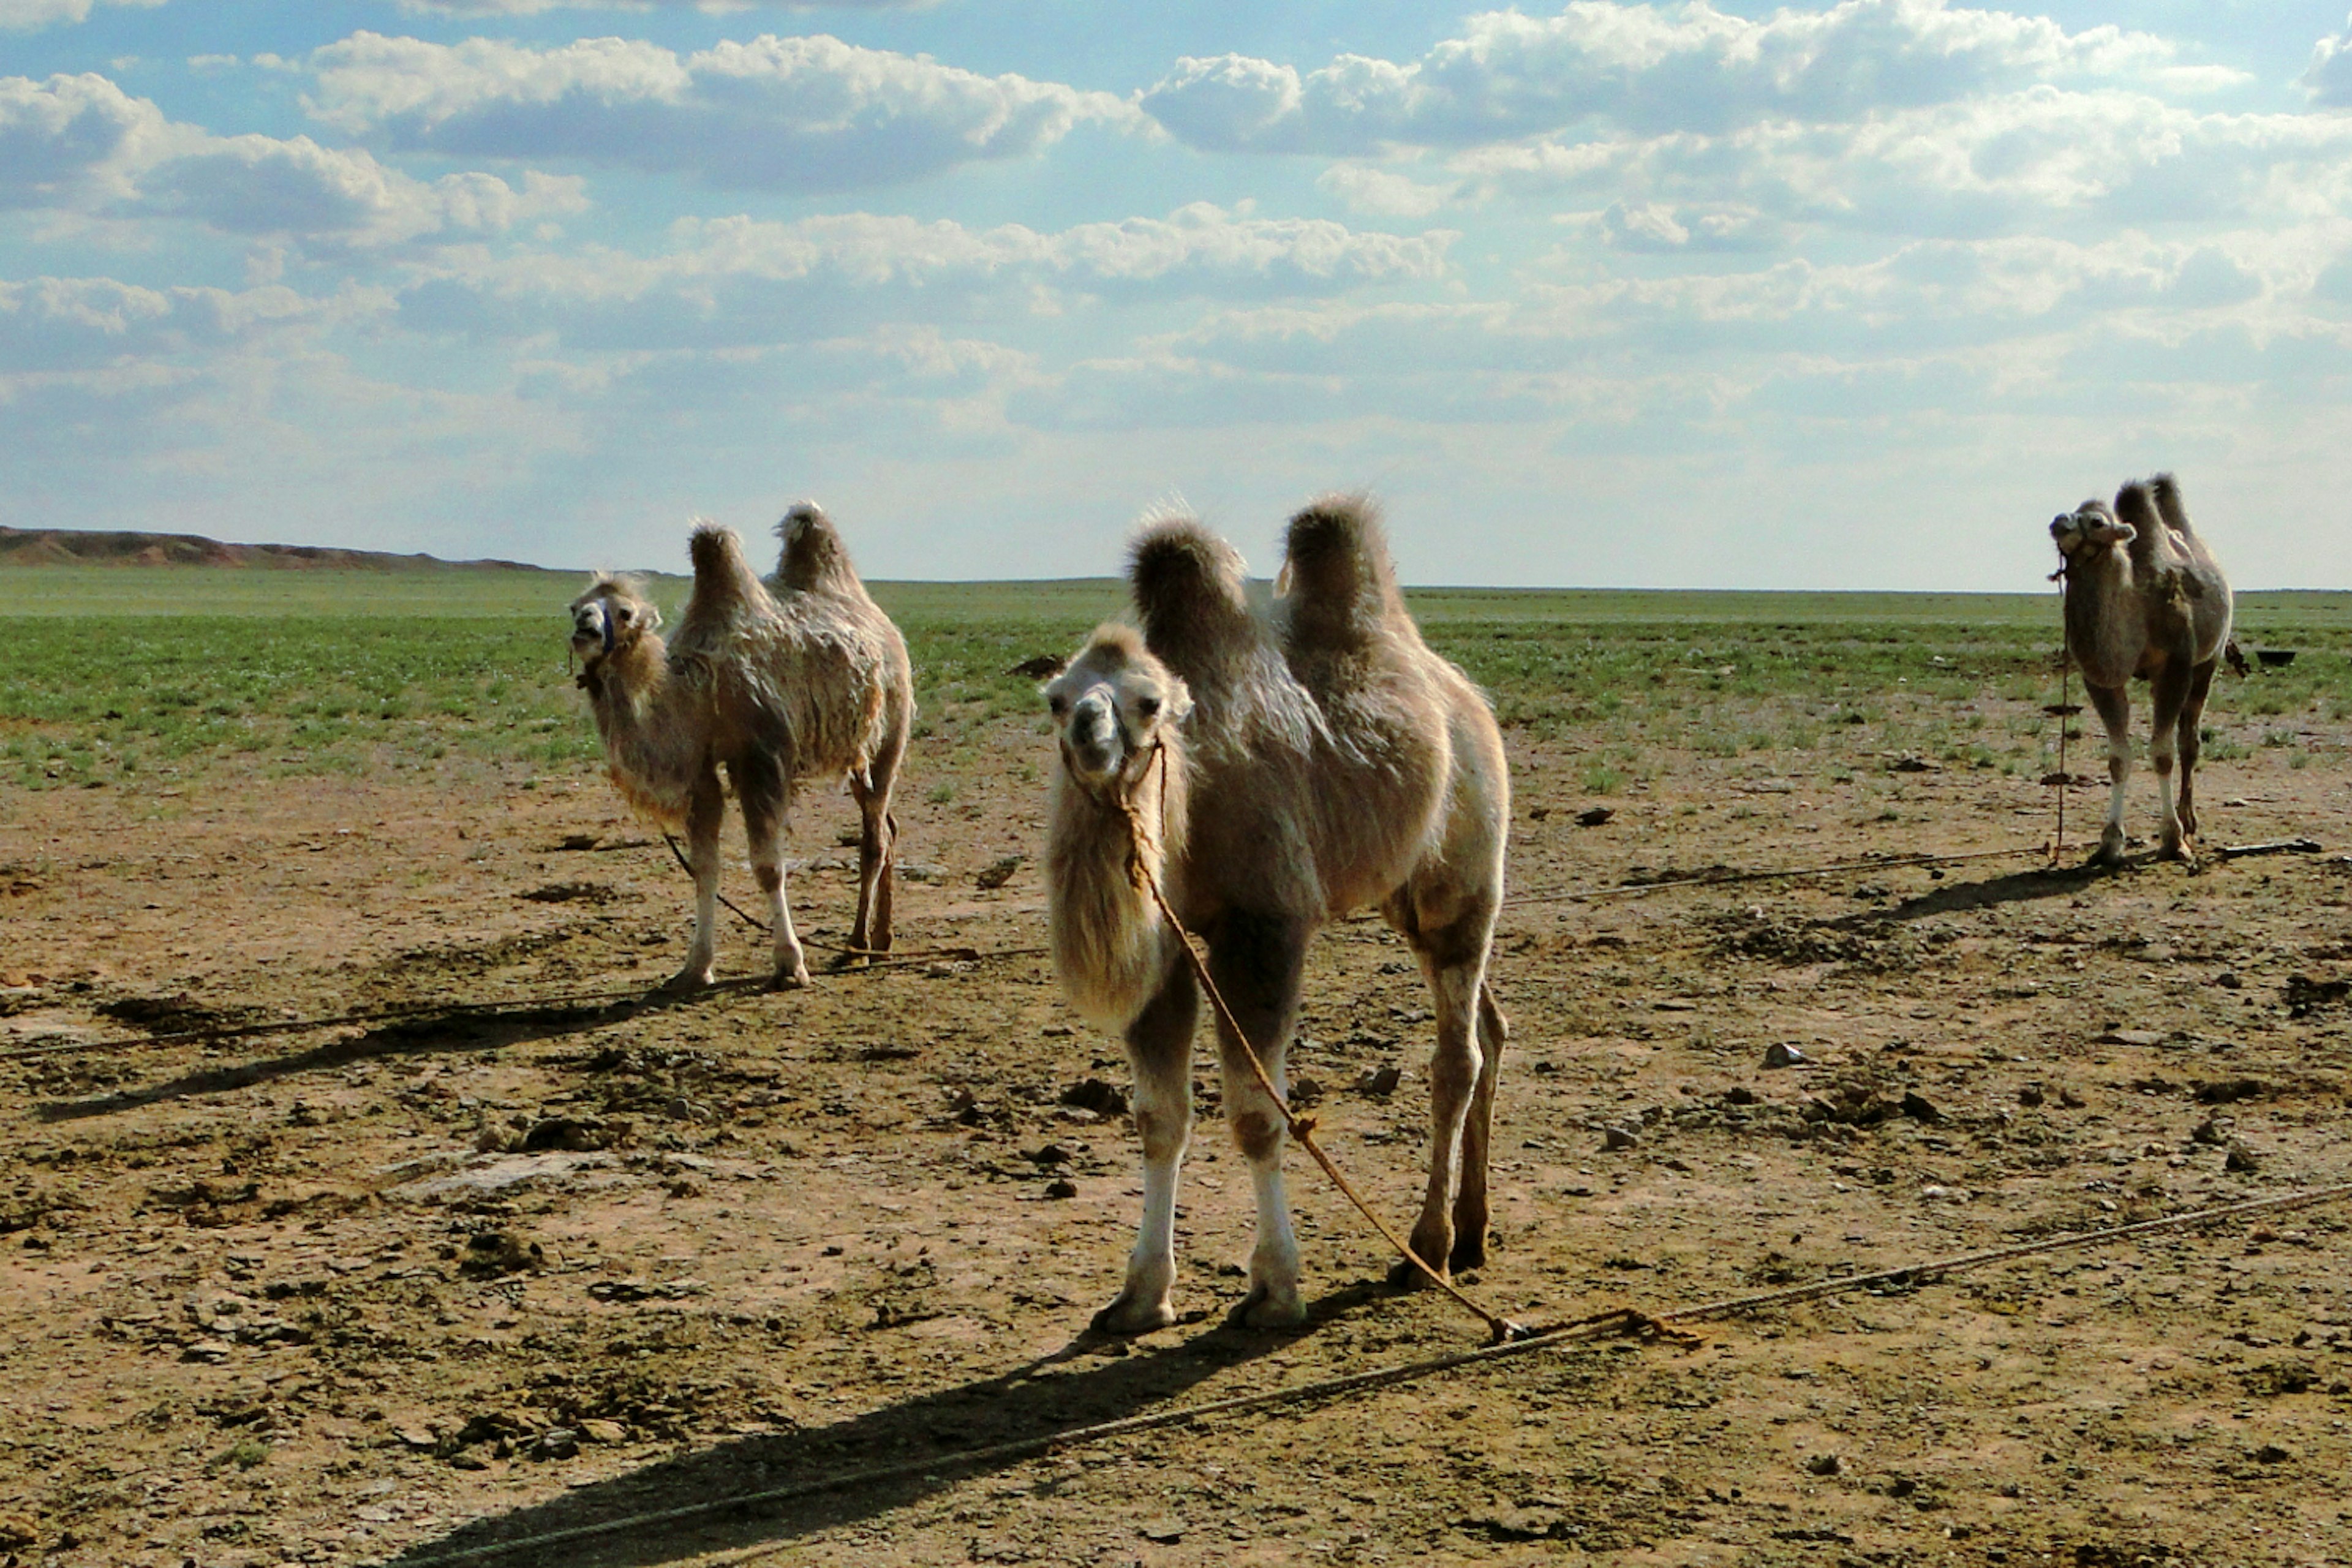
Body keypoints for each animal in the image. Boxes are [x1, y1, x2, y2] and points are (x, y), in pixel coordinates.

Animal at [564, 510, 912, 987]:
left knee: (874, 839)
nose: (584, 628)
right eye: (575, 605)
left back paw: (856, 948)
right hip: (856, 751)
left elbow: (767, 866)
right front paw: (696, 967)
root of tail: (886, 629)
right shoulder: (702, 771)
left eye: (624, 611)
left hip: (891, 729)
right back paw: (882, 942)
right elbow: (704, 869)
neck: (697, 692)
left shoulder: (761, 757)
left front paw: (790, 963)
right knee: (887, 826)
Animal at [1044, 496, 1505, 1335]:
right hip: (1401, 895)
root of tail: (1465, 697)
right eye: (1057, 699)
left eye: (1148, 702)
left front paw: (1275, 1289)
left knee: (1456, 1055)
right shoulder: (1163, 947)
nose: (1090, 737)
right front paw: (1140, 1294)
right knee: (1491, 1026)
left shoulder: (1263, 929)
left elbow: (1259, 1116)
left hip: (1463, 875)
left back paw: (1427, 1248)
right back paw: (1473, 1231)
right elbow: (1159, 1116)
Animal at [2051, 479, 2230, 870]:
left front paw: (2173, 840)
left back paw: (2189, 821)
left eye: (2097, 521)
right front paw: (2109, 844)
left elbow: (2163, 754)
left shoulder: (2175, 667)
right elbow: (2118, 759)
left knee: (2189, 742)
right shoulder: (2102, 680)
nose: (2058, 522)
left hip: (2208, 662)